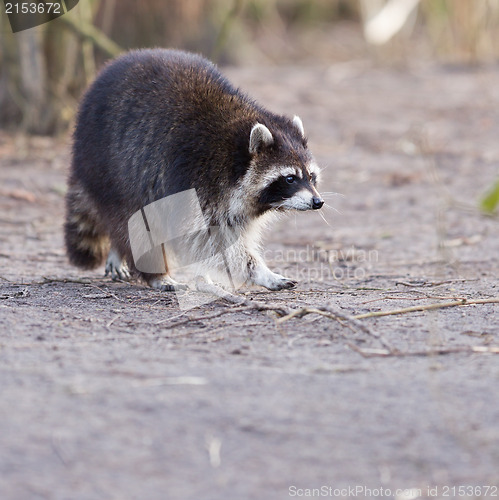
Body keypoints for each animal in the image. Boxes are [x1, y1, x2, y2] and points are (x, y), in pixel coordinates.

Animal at [64, 48, 324, 292]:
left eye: (311, 177)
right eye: (290, 178)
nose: (318, 202)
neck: (234, 153)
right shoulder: (193, 177)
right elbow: (206, 237)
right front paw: (257, 270)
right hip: (112, 169)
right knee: (135, 222)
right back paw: (157, 274)